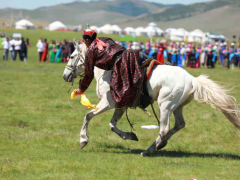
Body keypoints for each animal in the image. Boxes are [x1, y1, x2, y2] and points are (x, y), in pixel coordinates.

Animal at [63, 41, 240, 156]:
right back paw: (161, 144)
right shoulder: (120, 106)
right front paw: (130, 136)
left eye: (71, 56)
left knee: (164, 128)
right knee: (179, 124)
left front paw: (83, 140)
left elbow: (88, 116)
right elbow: (112, 125)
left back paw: (149, 150)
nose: (65, 76)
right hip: (177, 107)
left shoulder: (108, 103)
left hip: (165, 105)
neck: (109, 69)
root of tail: (192, 80)